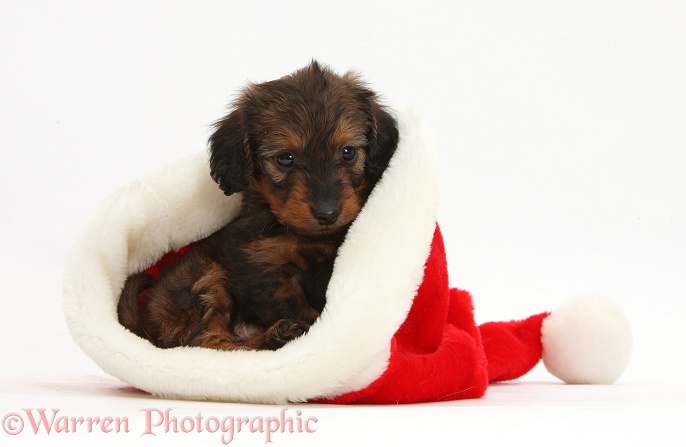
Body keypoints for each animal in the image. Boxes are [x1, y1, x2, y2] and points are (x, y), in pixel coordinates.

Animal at [117, 61, 398, 352]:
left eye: (348, 151)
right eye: (285, 158)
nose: (327, 213)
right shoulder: (262, 269)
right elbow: (301, 312)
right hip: (207, 276)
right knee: (208, 343)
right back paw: (275, 336)